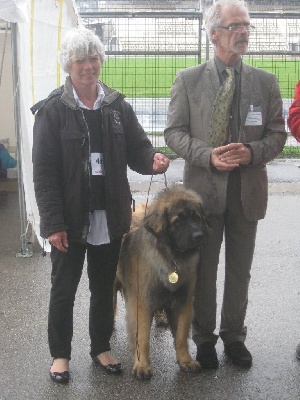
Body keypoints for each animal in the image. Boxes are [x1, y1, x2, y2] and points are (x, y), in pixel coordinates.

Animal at [116, 186, 210, 380]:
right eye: (178, 221)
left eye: (196, 217)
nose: (199, 236)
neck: (171, 257)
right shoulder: (142, 303)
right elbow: (142, 337)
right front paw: (142, 365)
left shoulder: (183, 302)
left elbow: (181, 336)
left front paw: (186, 361)